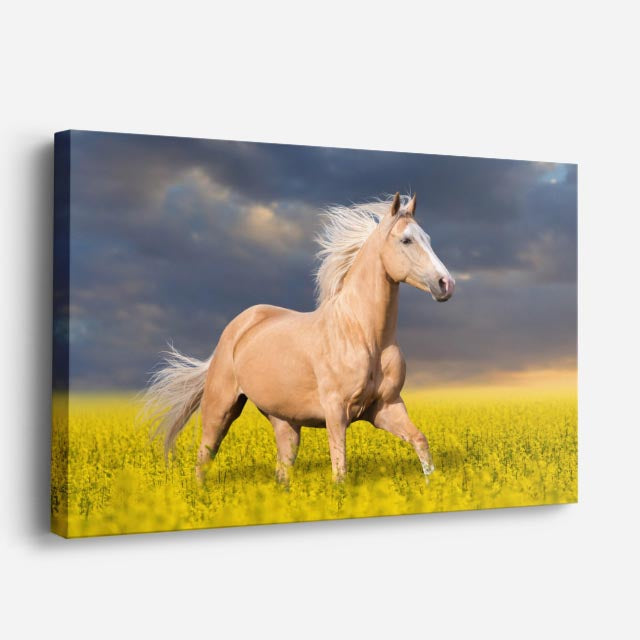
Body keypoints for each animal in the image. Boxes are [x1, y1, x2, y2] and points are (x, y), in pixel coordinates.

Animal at [143, 192, 455, 484]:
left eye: (427, 238)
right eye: (406, 240)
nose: (446, 284)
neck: (364, 335)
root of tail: (237, 328)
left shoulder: (386, 407)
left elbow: (420, 441)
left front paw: (432, 487)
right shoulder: (336, 411)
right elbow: (340, 470)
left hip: (284, 422)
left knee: (282, 470)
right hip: (220, 408)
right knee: (204, 457)